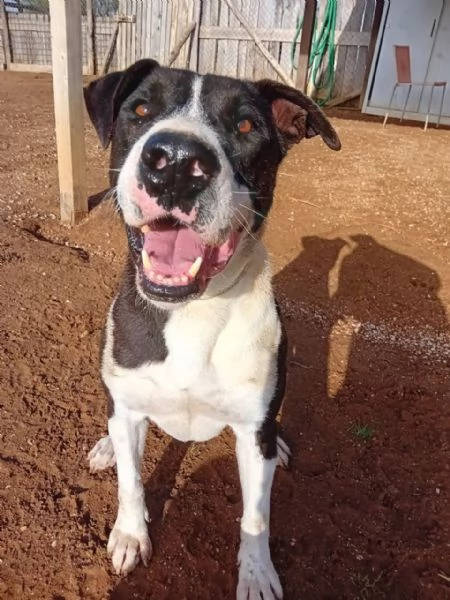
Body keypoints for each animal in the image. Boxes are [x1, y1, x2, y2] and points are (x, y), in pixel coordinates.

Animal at [84, 57, 340, 600]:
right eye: (141, 111)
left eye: (245, 126)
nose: (177, 162)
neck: (193, 312)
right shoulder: (129, 407)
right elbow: (132, 483)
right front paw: (131, 536)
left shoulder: (251, 431)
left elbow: (256, 516)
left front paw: (257, 574)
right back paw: (106, 447)